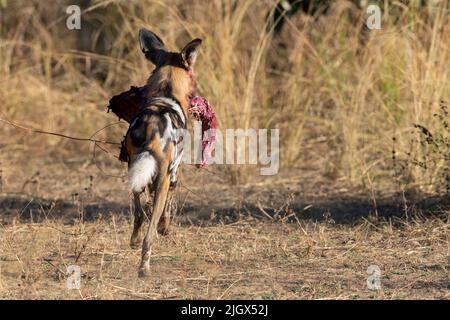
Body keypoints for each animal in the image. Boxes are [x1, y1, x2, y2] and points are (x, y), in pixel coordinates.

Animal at [123, 28, 200, 276]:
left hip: (133, 172)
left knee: (139, 215)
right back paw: (144, 267)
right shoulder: (173, 174)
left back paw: (134, 242)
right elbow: (167, 211)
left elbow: (143, 210)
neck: (167, 92)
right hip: (164, 179)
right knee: (151, 229)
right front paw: (167, 230)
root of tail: (151, 125)